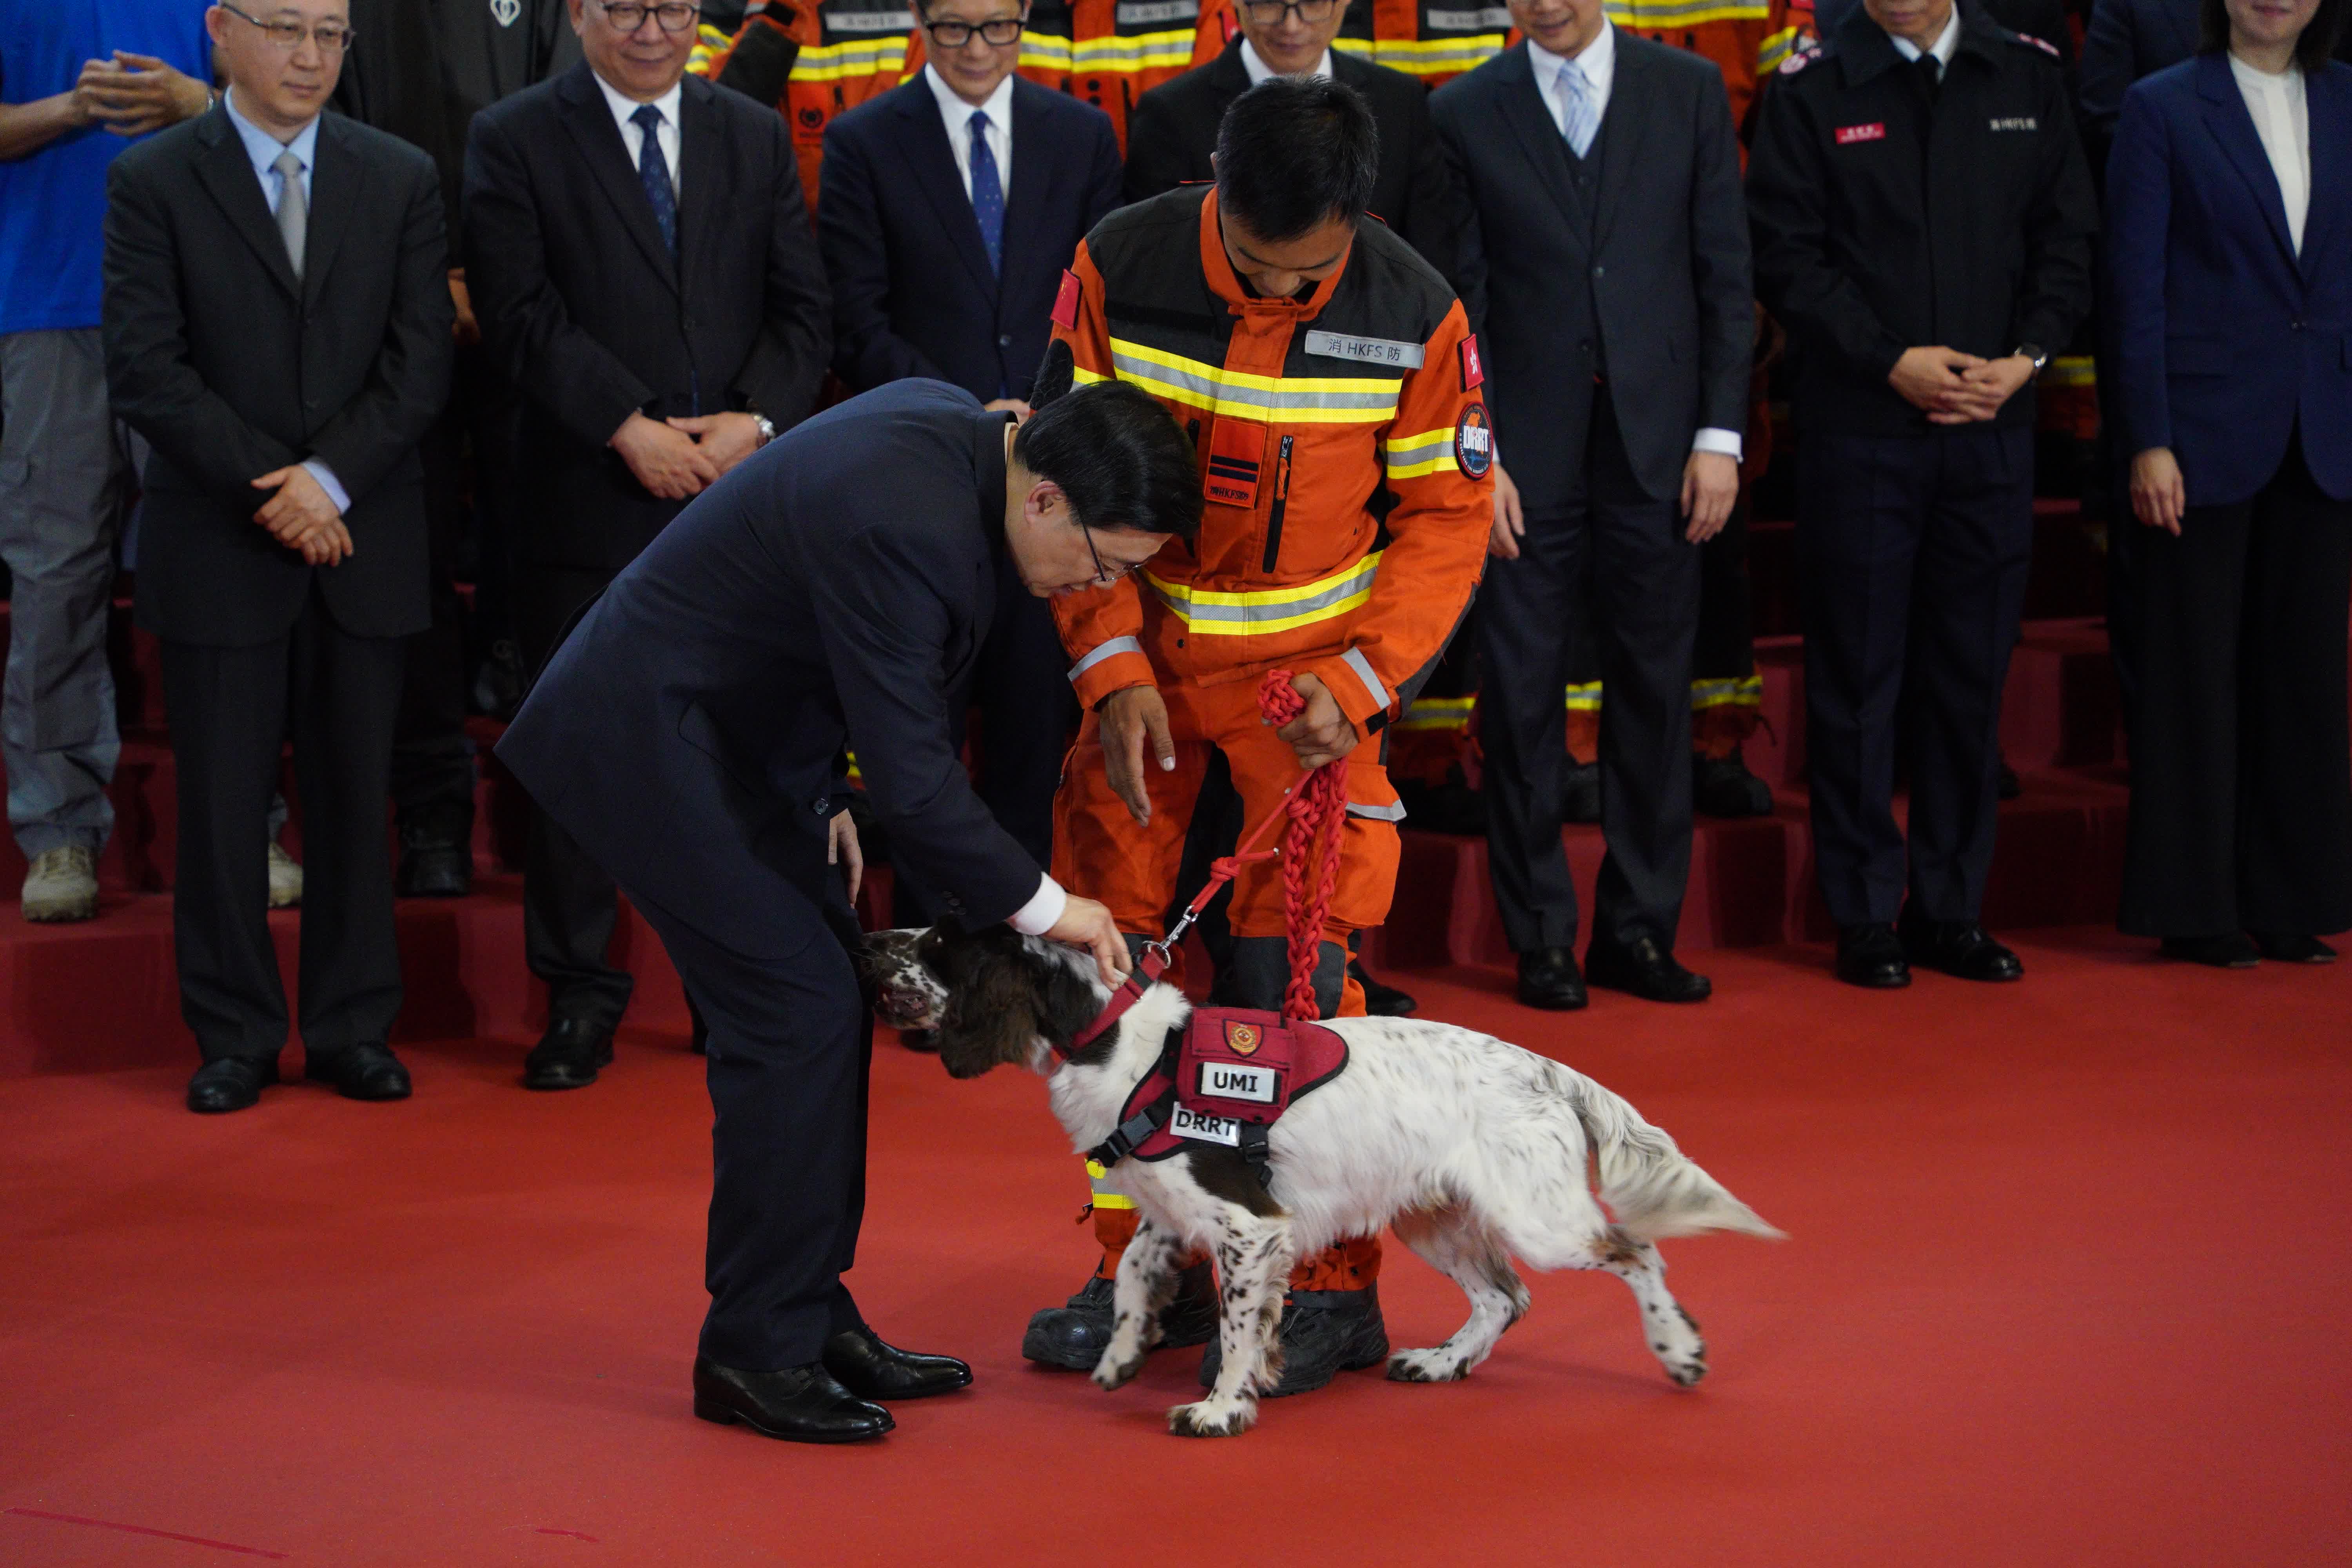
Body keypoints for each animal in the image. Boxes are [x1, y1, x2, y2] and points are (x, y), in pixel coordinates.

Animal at [864, 923, 1782, 1438]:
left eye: (938, 946)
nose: (872, 939)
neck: (1119, 1045)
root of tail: (1549, 1069)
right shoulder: (1174, 1213)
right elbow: (1129, 1276)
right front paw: (1125, 1354)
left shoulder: (1250, 1226)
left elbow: (1237, 1330)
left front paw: (1221, 1410)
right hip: (1434, 1216)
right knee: (1504, 1297)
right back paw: (1441, 1364)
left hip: (1539, 1218)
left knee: (1635, 1253)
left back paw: (1680, 1351)